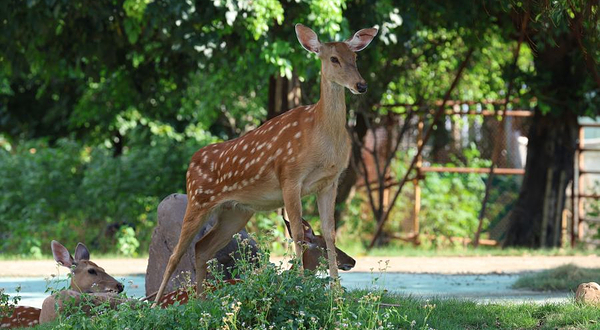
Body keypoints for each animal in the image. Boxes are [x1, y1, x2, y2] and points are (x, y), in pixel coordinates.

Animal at [152, 24, 378, 306]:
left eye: (355, 58)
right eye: (333, 59)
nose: (361, 85)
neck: (321, 137)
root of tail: (191, 163)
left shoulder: (330, 181)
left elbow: (329, 232)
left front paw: (336, 296)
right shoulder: (289, 176)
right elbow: (299, 234)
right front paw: (301, 288)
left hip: (237, 211)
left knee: (202, 247)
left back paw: (202, 302)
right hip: (198, 199)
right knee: (176, 254)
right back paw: (157, 305)